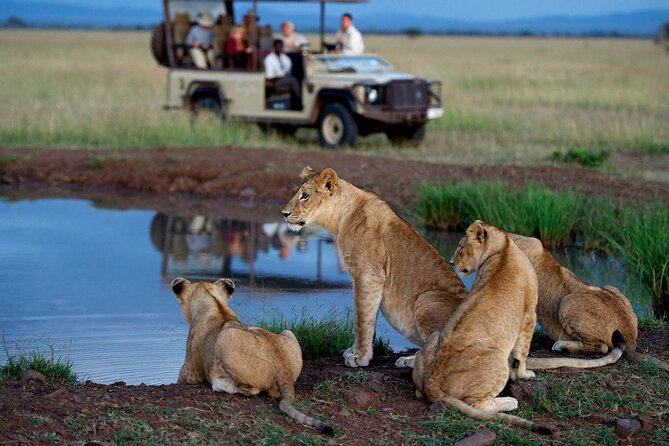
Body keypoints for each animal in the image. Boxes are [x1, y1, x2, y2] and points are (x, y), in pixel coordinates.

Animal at [170, 278, 332, 434]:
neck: (214, 302)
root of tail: (283, 367)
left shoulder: (192, 373)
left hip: (225, 337)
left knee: (252, 390)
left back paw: (219, 384)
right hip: (288, 332)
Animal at [280, 166, 464, 368]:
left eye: (305, 196)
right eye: (294, 192)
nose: (284, 213)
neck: (339, 219)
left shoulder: (368, 275)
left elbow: (361, 318)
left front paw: (360, 357)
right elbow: (366, 318)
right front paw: (355, 351)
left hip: (427, 298)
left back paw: (411, 360)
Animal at [412, 221, 552, 434]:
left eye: (461, 247)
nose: (451, 262)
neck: (501, 248)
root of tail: (431, 383)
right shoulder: (529, 315)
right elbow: (522, 353)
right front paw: (524, 374)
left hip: (434, 337)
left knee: (419, 392)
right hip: (496, 360)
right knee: (477, 404)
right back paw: (509, 401)